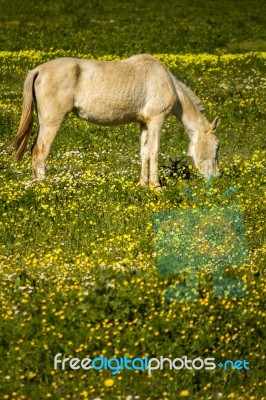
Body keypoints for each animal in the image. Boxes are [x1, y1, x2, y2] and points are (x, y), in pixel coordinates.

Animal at [8, 53, 220, 189]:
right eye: (217, 146)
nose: (216, 176)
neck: (166, 80)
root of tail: (38, 70)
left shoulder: (144, 123)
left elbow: (144, 153)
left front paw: (143, 185)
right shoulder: (156, 121)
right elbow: (155, 151)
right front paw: (156, 186)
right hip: (52, 121)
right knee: (40, 152)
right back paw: (43, 187)